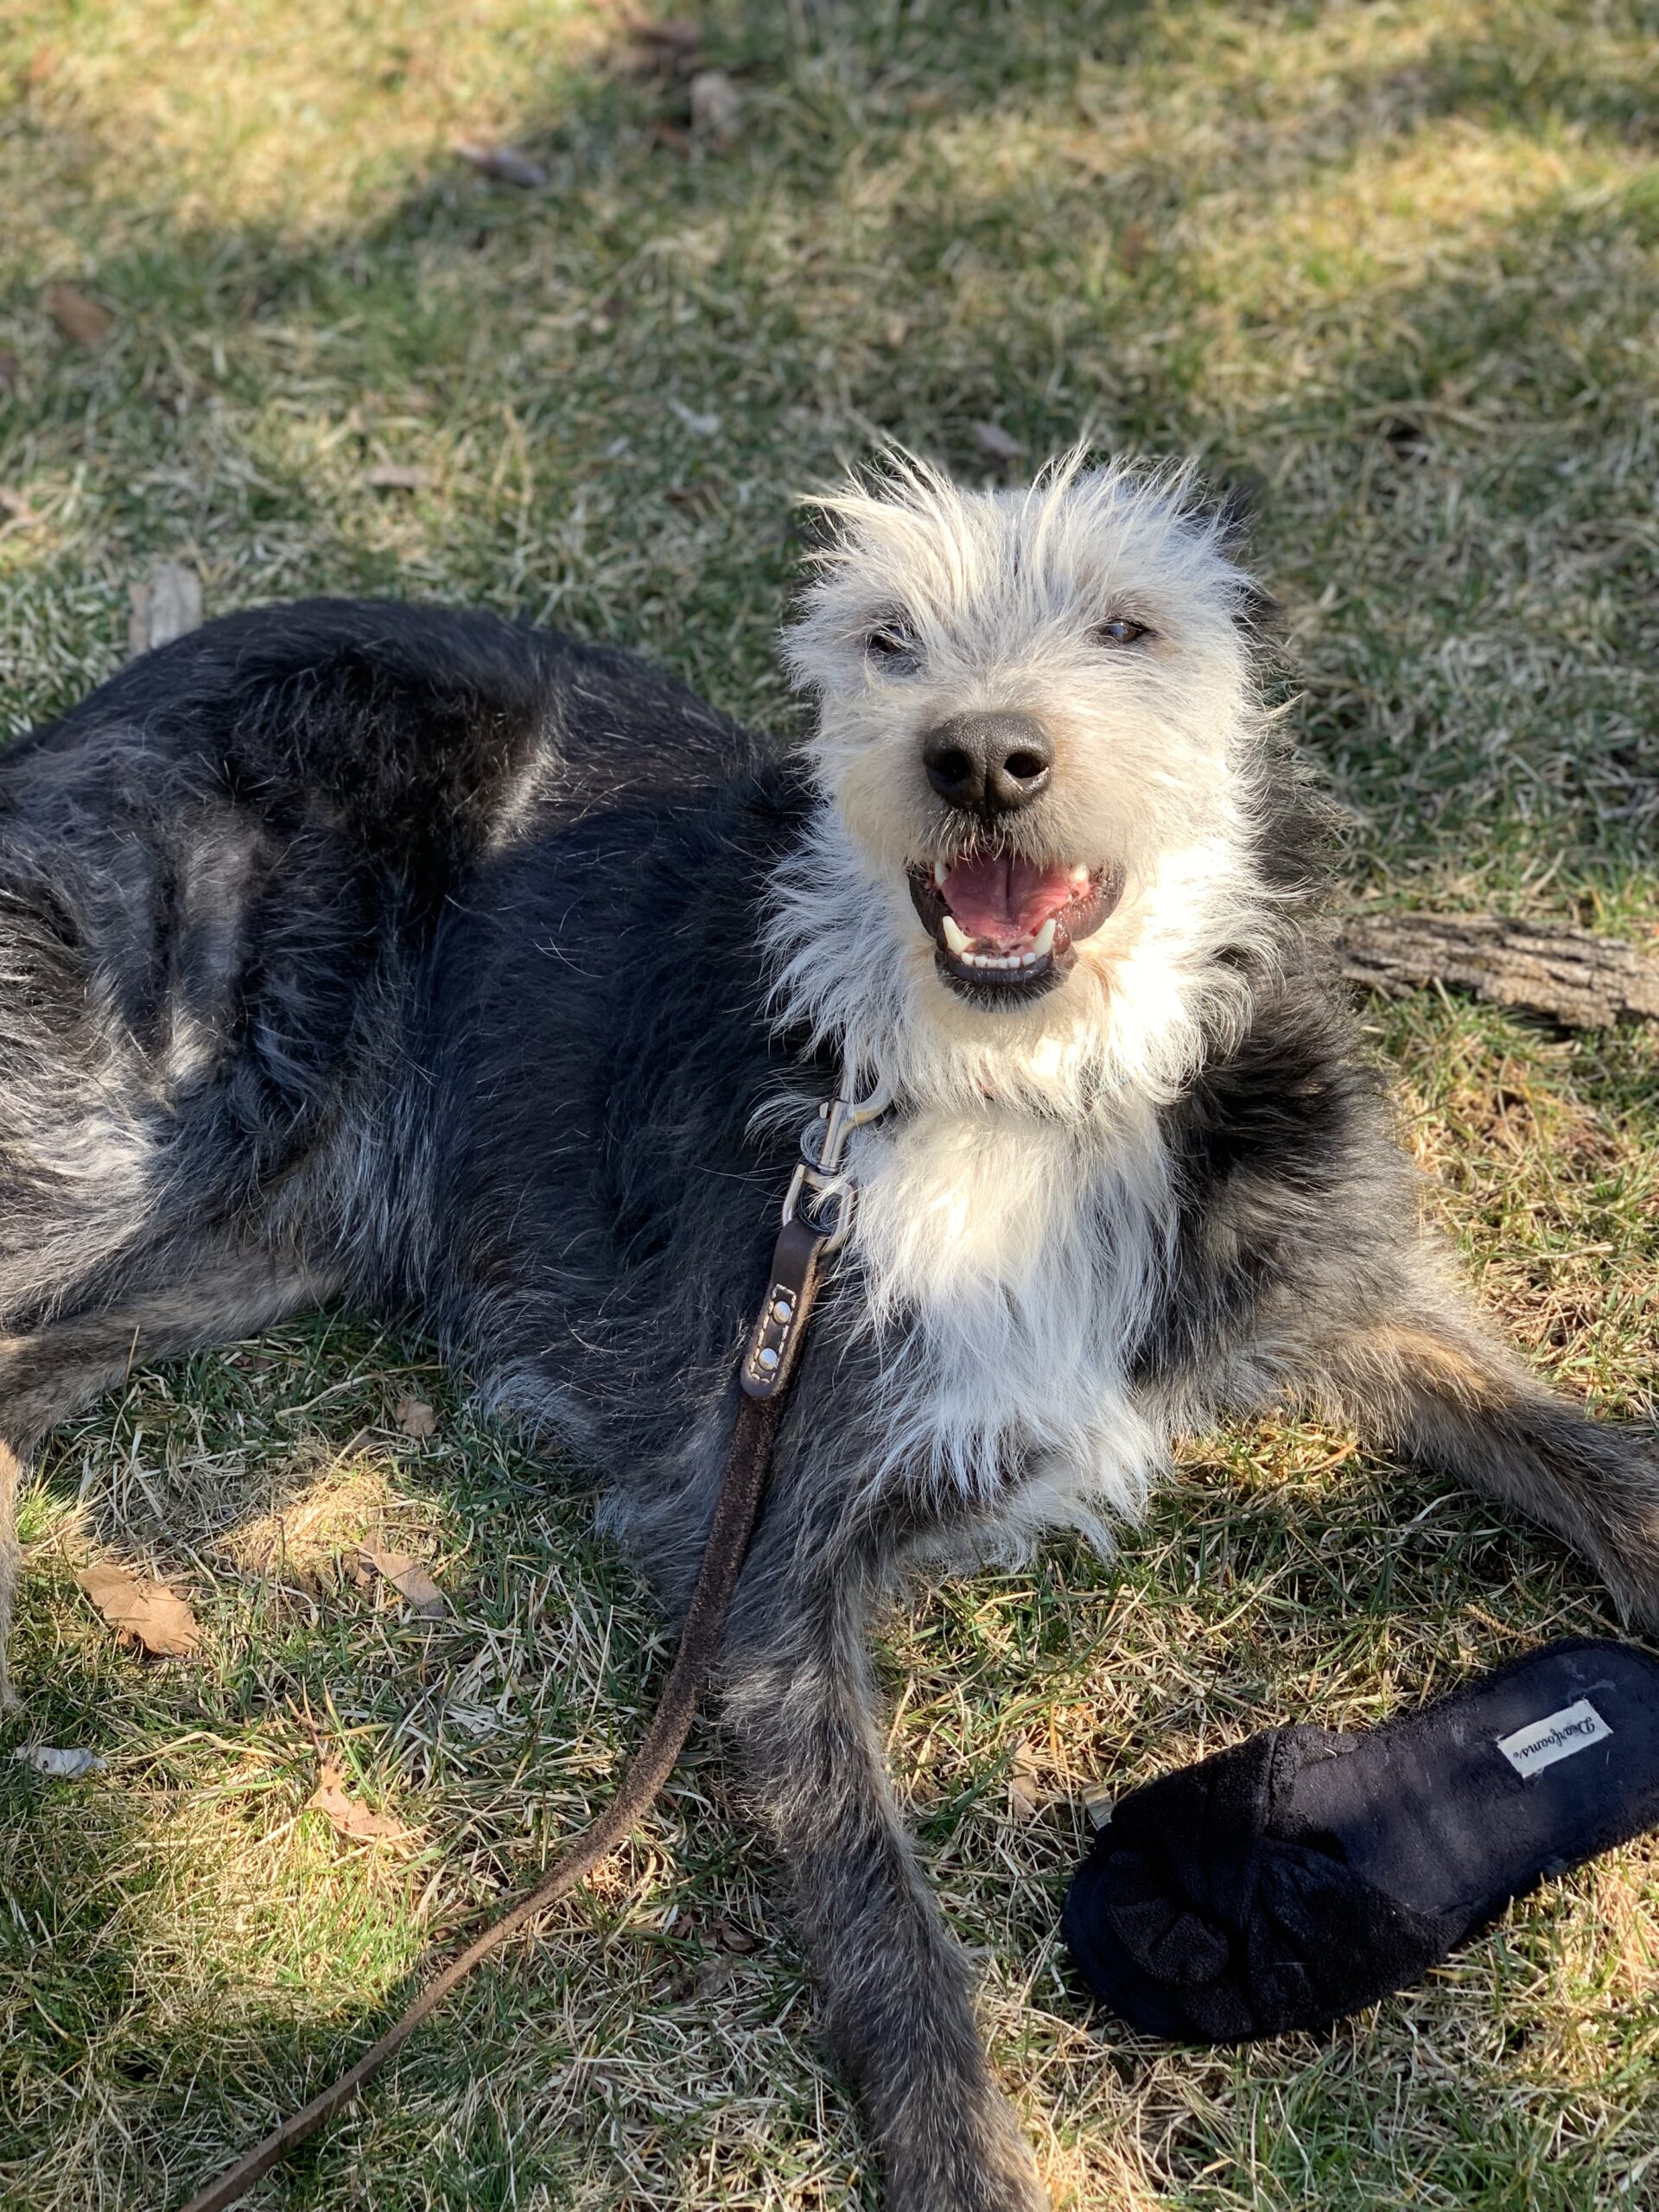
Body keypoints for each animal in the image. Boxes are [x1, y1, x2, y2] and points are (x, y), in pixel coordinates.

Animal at [0, 453, 1654, 2212]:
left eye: (1129, 626)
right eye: (887, 638)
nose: (984, 756)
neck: (1014, 1085)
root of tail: (92, 710)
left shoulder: (1330, 1280)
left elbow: (1598, 1462)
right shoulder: (759, 1529)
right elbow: (887, 1929)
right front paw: (965, 2167)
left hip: (279, 1224)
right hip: (134, 1120)